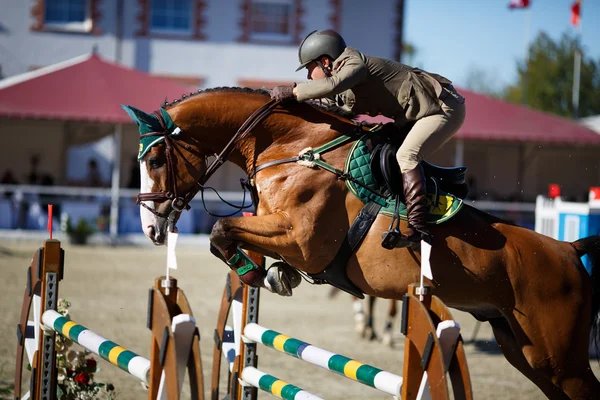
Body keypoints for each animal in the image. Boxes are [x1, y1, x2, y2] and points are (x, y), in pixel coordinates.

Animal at [123, 86, 600, 398]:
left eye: (154, 160)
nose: (150, 229)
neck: (292, 147)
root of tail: (569, 250)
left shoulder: (302, 240)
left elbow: (222, 231)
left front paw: (258, 274)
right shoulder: (273, 226)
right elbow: (231, 236)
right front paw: (272, 274)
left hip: (559, 360)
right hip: (525, 352)